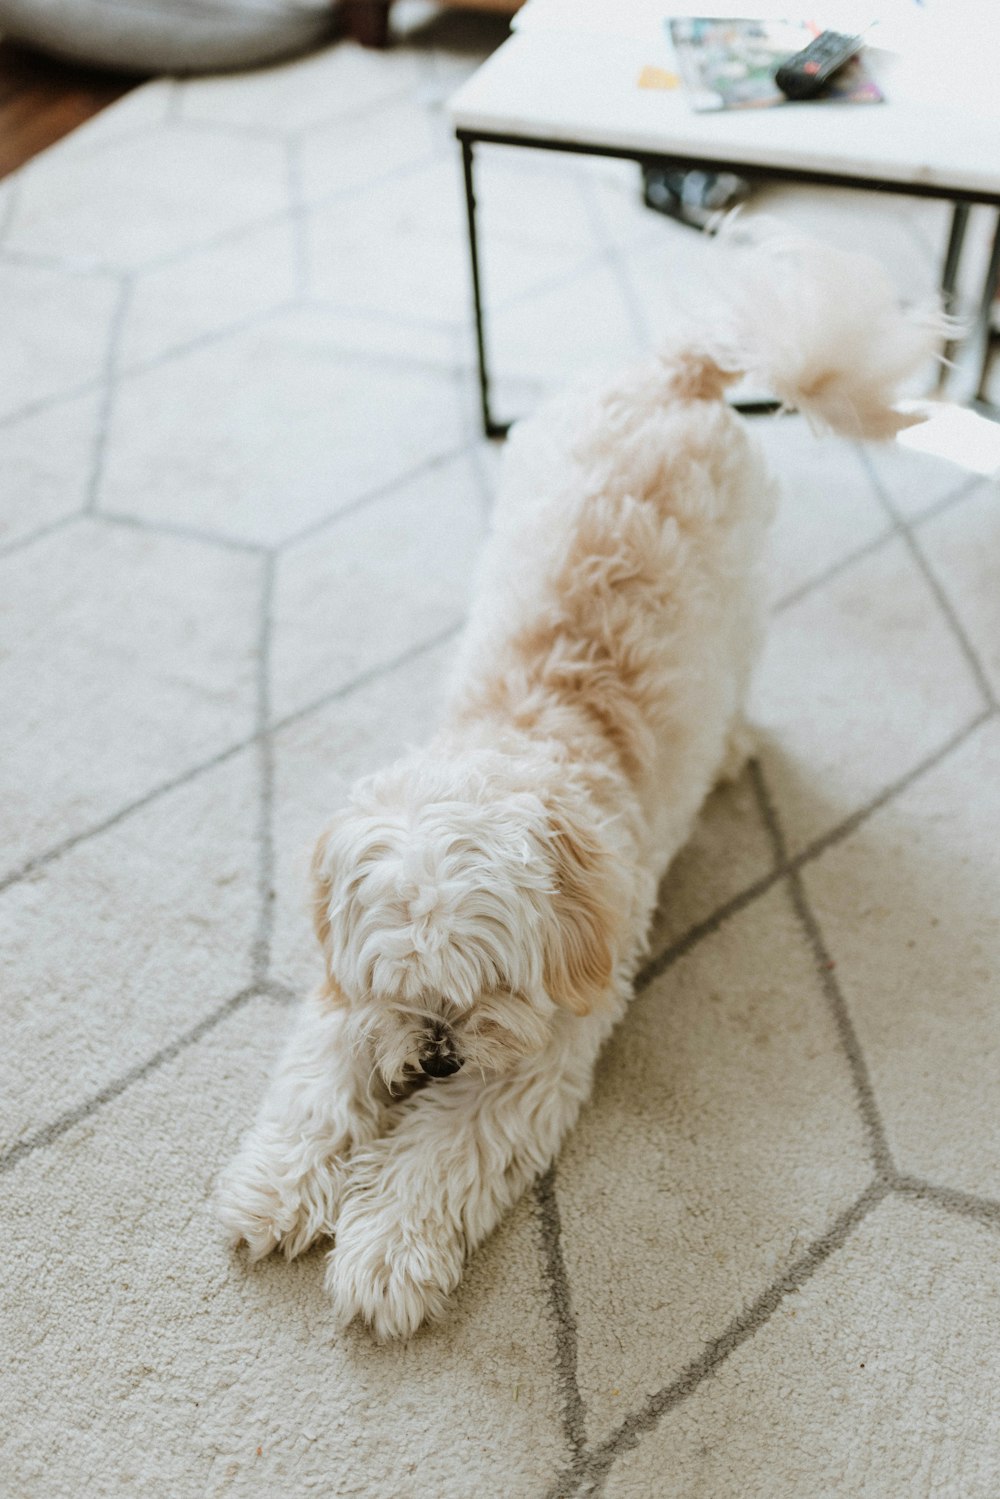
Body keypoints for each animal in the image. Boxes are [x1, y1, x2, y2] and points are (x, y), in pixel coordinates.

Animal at [217, 233, 941, 1337]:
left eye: (488, 987)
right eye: (404, 986)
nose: (436, 1053)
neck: (524, 737)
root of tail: (678, 372)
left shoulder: (532, 1057)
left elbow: (439, 1156)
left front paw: (383, 1259)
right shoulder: (349, 998)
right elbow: (316, 1087)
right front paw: (275, 1188)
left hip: (745, 598)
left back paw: (730, 746)